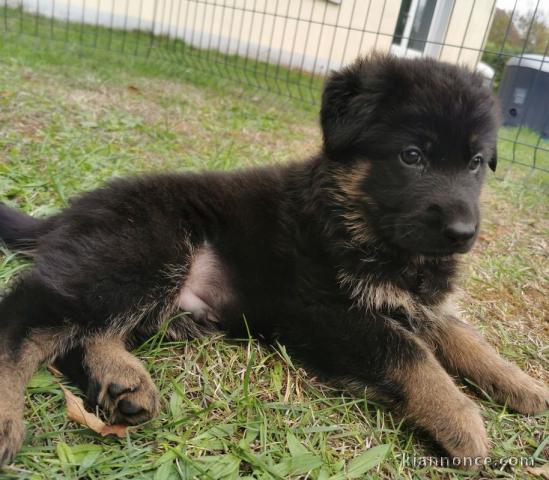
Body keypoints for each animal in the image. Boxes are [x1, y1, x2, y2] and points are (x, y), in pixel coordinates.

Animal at [1, 55, 548, 464]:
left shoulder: (418, 303)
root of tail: (71, 212)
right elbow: (409, 353)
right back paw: (9, 415)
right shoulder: (324, 312)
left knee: (85, 332)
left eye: (475, 163)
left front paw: (523, 384)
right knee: (28, 313)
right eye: (412, 156)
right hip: (147, 249)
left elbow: (466, 338)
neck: (351, 217)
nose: (463, 234)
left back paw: (122, 380)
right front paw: (462, 419)